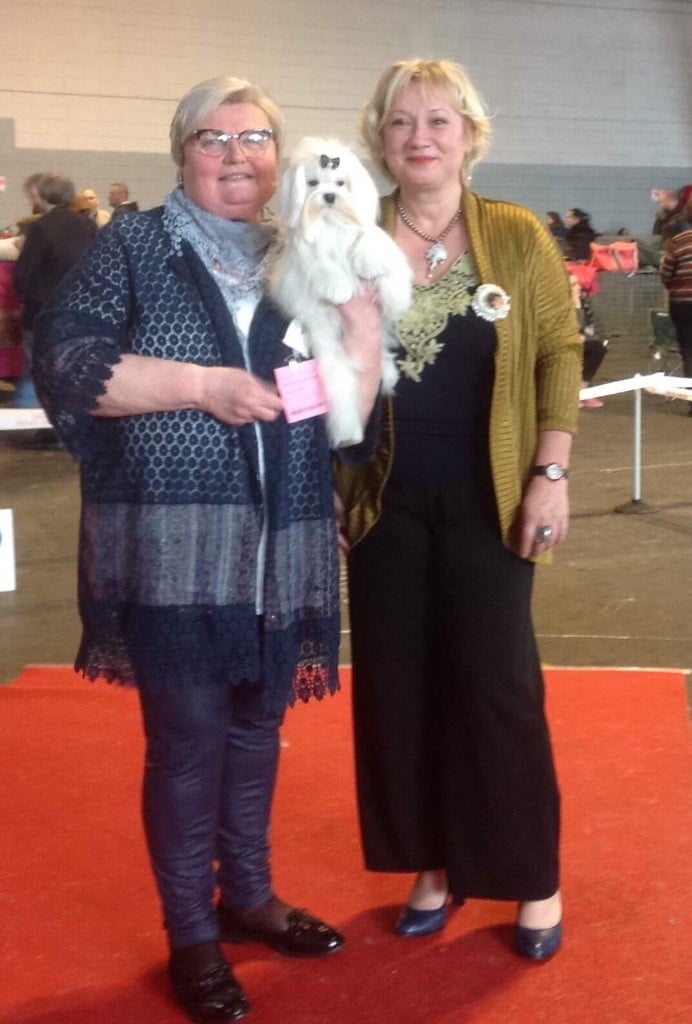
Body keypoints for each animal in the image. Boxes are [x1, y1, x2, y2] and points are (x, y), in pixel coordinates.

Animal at [268, 136, 412, 446]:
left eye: (340, 183)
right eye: (312, 183)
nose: (329, 197)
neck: (332, 223)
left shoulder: (378, 244)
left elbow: (382, 256)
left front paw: (389, 288)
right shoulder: (307, 259)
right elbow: (323, 266)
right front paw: (339, 288)